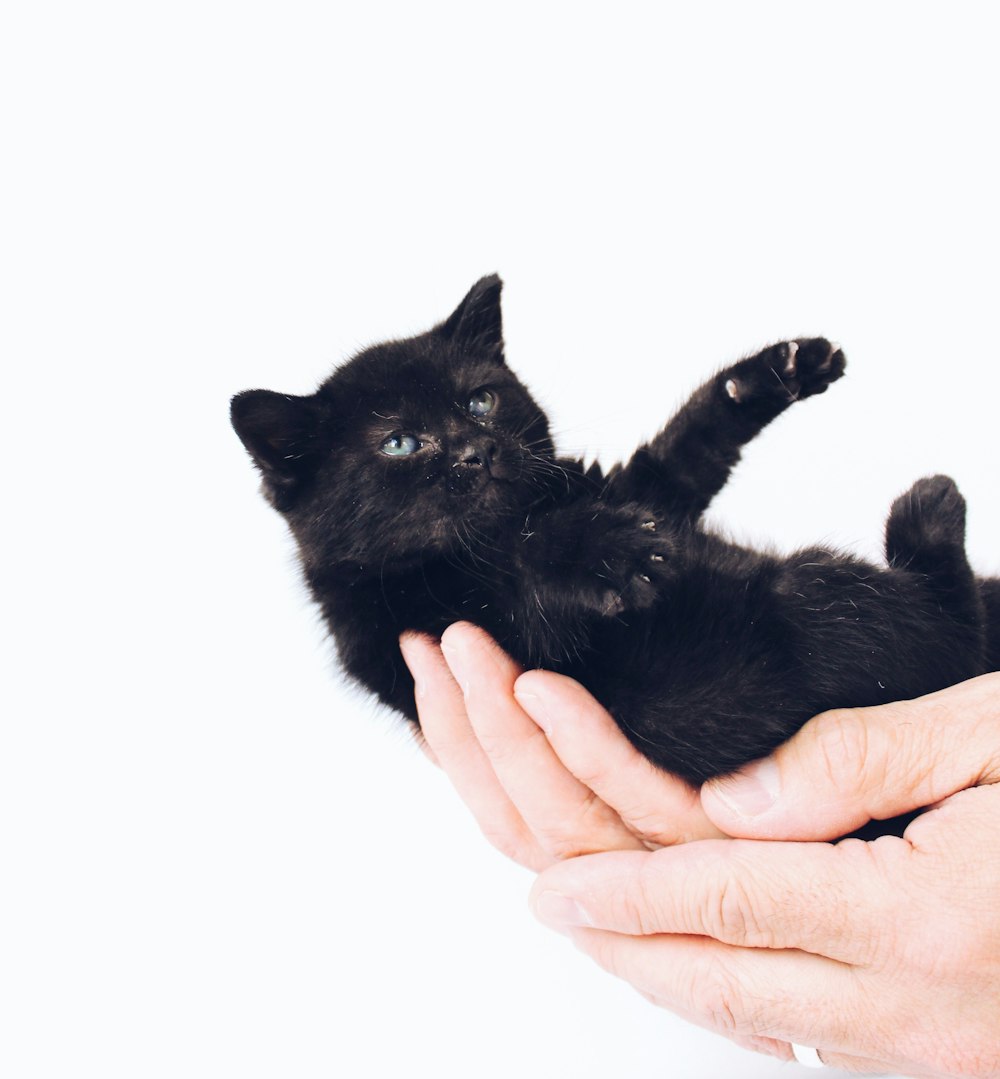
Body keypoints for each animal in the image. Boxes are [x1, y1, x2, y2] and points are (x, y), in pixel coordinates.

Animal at [233, 278, 1000, 785]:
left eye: (480, 401)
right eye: (399, 443)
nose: (475, 452)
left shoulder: (645, 493)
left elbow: (687, 447)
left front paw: (777, 370)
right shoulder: (465, 627)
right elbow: (526, 568)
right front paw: (602, 549)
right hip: (814, 601)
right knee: (949, 625)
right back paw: (930, 510)